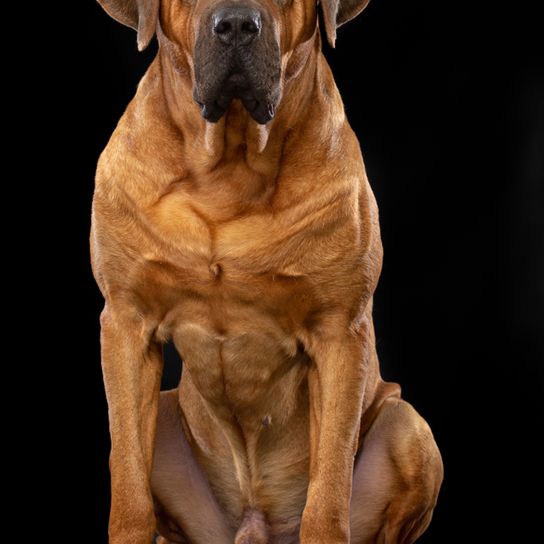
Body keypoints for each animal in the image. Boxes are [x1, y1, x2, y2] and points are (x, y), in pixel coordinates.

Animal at [92, 0, 442, 540]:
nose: (237, 24)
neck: (228, 170)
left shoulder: (340, 333)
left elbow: (329, 488)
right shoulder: (126, 322)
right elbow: (128, 478)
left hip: (407, 425)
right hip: (171, 415)